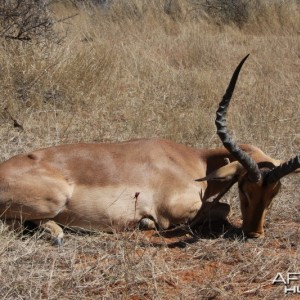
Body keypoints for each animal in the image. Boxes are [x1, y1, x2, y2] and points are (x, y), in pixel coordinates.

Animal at [0, 55, 298, 245]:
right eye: (245, 189)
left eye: (274, 193)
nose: (254, 233)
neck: (193, 160)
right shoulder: (176, 212)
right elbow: (222, 208)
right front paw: (146, 223)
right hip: (55, 198)